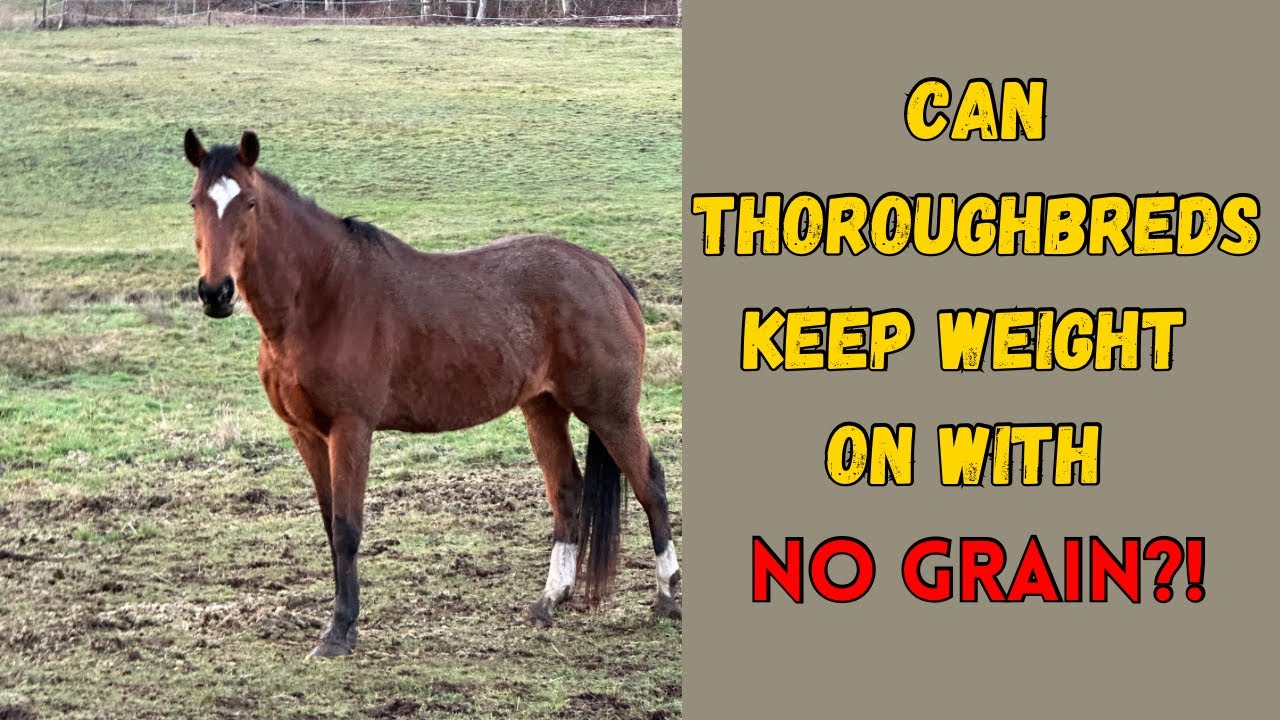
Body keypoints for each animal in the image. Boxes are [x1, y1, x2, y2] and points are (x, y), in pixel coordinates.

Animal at [182, 129, 681, 658]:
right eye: (195, 202)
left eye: (250, 203)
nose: (215, 293)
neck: (322, 296)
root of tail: (605, 270)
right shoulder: (307, 435)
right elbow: (329, 525)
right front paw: (337, 623)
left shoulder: (350, 430)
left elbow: (347, 528)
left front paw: (340, 631)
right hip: (543, 408)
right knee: (566, 490)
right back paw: (550, 600)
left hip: (610, 410)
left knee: (650, 483)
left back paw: (667, 597)